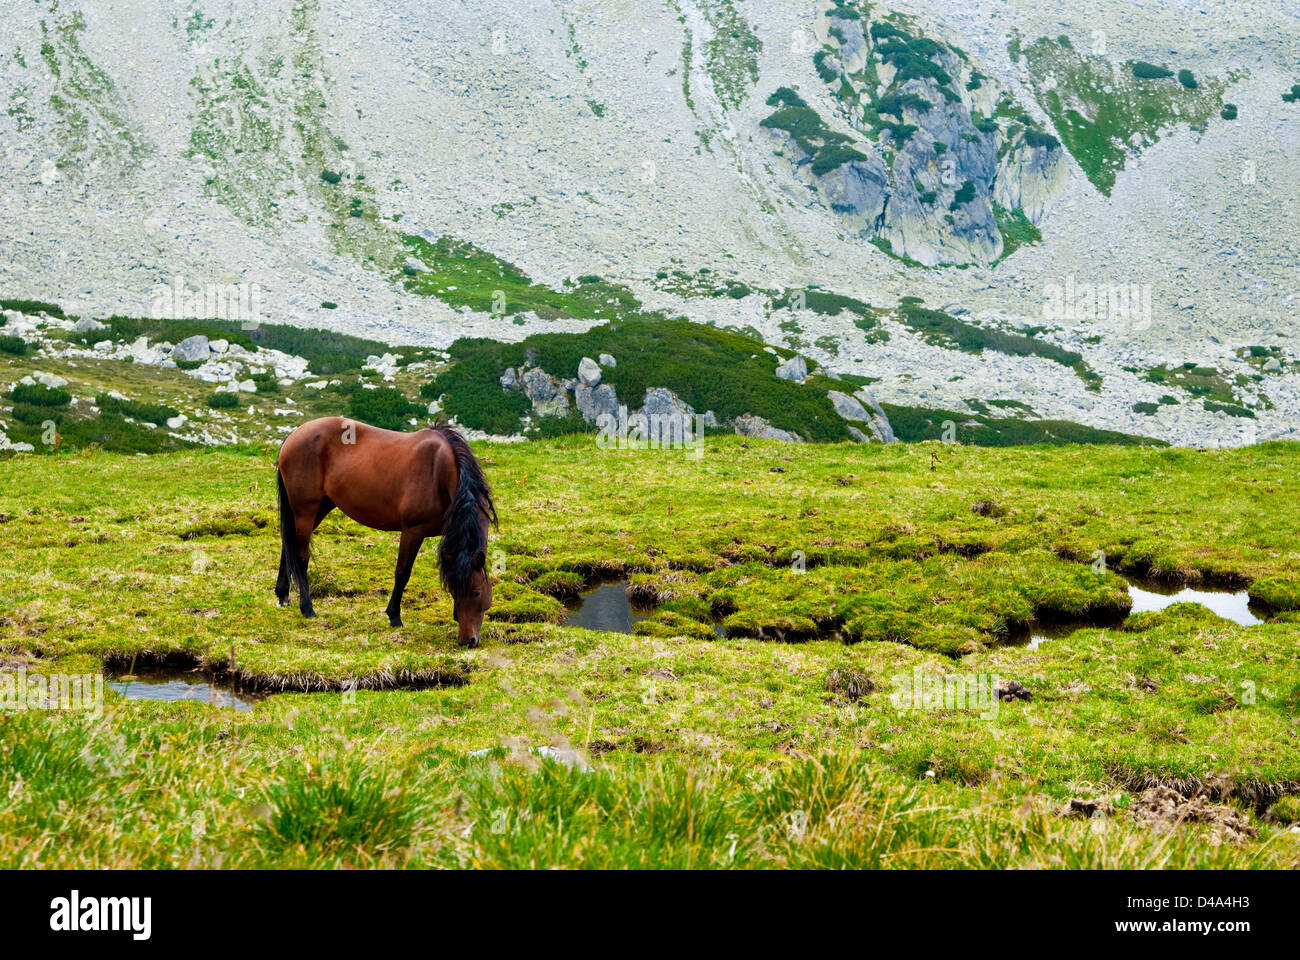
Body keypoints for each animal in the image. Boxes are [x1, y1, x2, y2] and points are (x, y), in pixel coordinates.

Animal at [274, 417, 497, 646]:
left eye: (476, 592)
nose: (467, 640)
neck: (439, 472)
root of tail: (293, 436)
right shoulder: (413, 531)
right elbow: (402, 573)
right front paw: (394, 616)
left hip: (321, 506)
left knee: (288, 544)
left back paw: (283, 595)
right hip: (306, 509)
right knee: (301, 556)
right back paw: (307, 608)